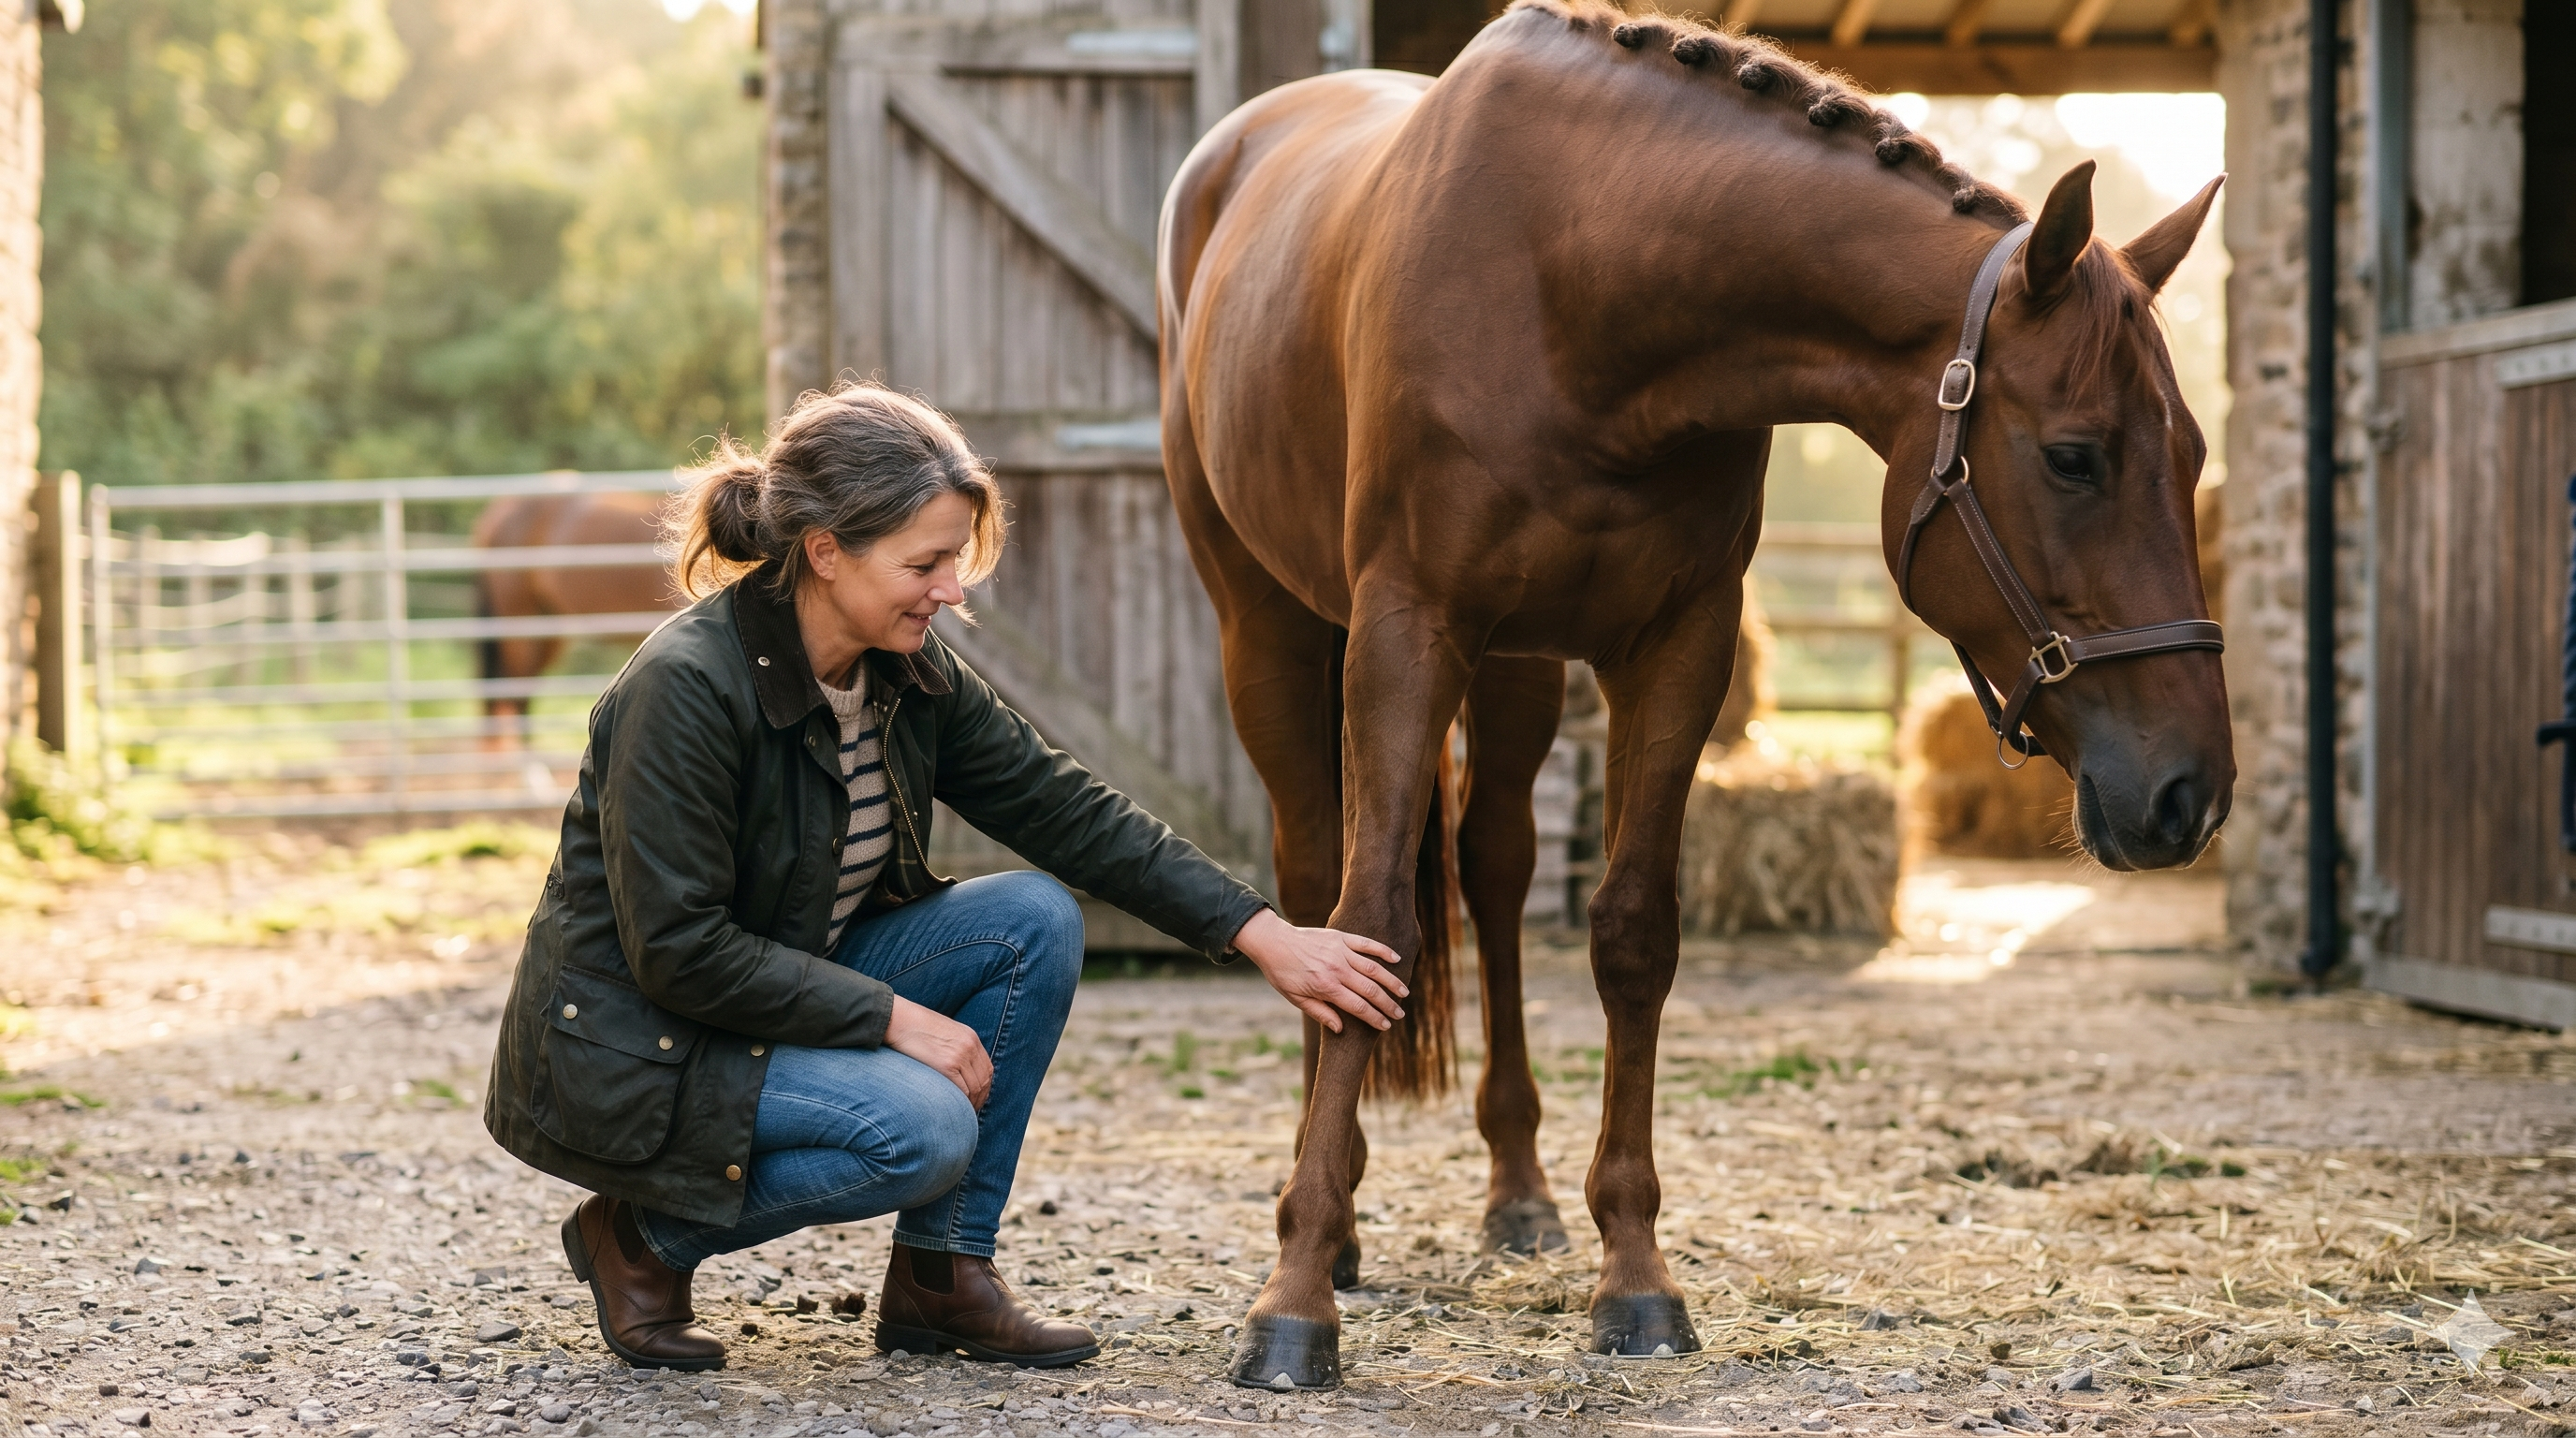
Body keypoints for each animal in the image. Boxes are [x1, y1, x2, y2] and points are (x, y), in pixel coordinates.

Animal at [1156, 0, 2231, 1390]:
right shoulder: (1406, 632)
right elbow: (1370, 926)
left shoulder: (1677, 645)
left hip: (1518, 667)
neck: (1579, 281)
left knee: (1496, 866)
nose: (2189, 793)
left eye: (2192, 452)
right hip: (1272, 632)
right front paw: (1293, 1296)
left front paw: (1634, 1276)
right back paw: (1333, 1232)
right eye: (2075, 457)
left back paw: (1517, 1193)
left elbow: (1631, 932)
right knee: (1310, 885)